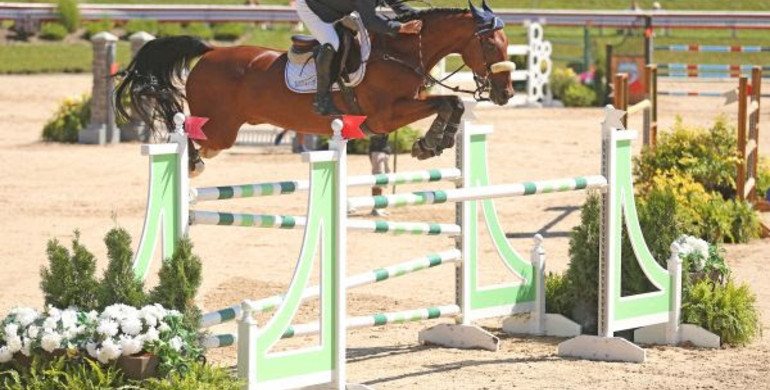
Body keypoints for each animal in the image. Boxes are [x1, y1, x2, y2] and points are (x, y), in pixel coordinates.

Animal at [115, 2, 510, 174]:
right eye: (491, 46)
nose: (505, 94)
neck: (400, 52)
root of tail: (211, 51)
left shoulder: (409, 102)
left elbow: (451, 104)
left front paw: (432, 143)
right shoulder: (385, 116)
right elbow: (447, 102)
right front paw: (429, 143)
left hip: (224, 132)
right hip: (219, 128)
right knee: (185, 129)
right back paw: (190, 160)